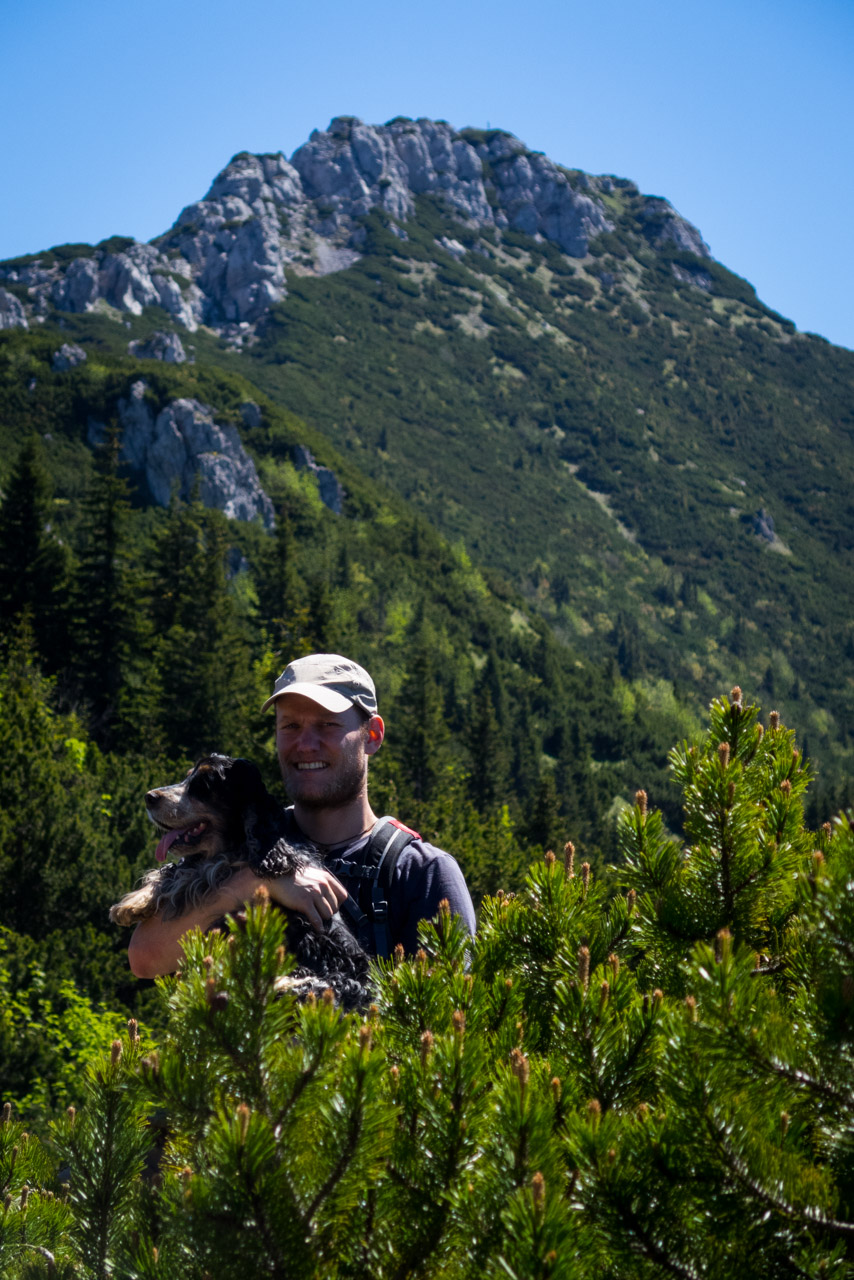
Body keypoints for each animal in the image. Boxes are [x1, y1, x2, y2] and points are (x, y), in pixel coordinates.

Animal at [110, 747, 371, 1008]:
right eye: (187, 777)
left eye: (203, 784)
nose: (149, 797)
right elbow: (176, 870)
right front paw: (131, 905)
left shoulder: (235, 865)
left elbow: (198, 875)